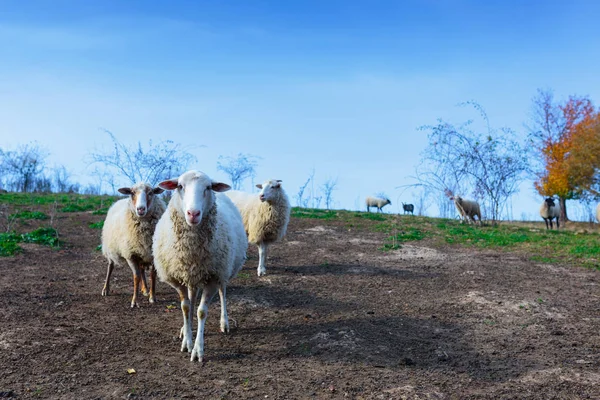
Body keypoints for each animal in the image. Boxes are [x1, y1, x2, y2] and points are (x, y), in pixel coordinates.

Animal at [156, 170, 250, 364]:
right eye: (180, 186)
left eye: (208, 187)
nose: (193, 213)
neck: (191, 250)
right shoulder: (178, 278)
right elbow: (186, 307)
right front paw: (187, 341)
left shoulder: (213, 277)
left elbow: (201, 312)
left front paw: (197, 349)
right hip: (193, 276)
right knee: (192, 298)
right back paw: (186, 328)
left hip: (223, 270)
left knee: (223, 293)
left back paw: (224, 323)